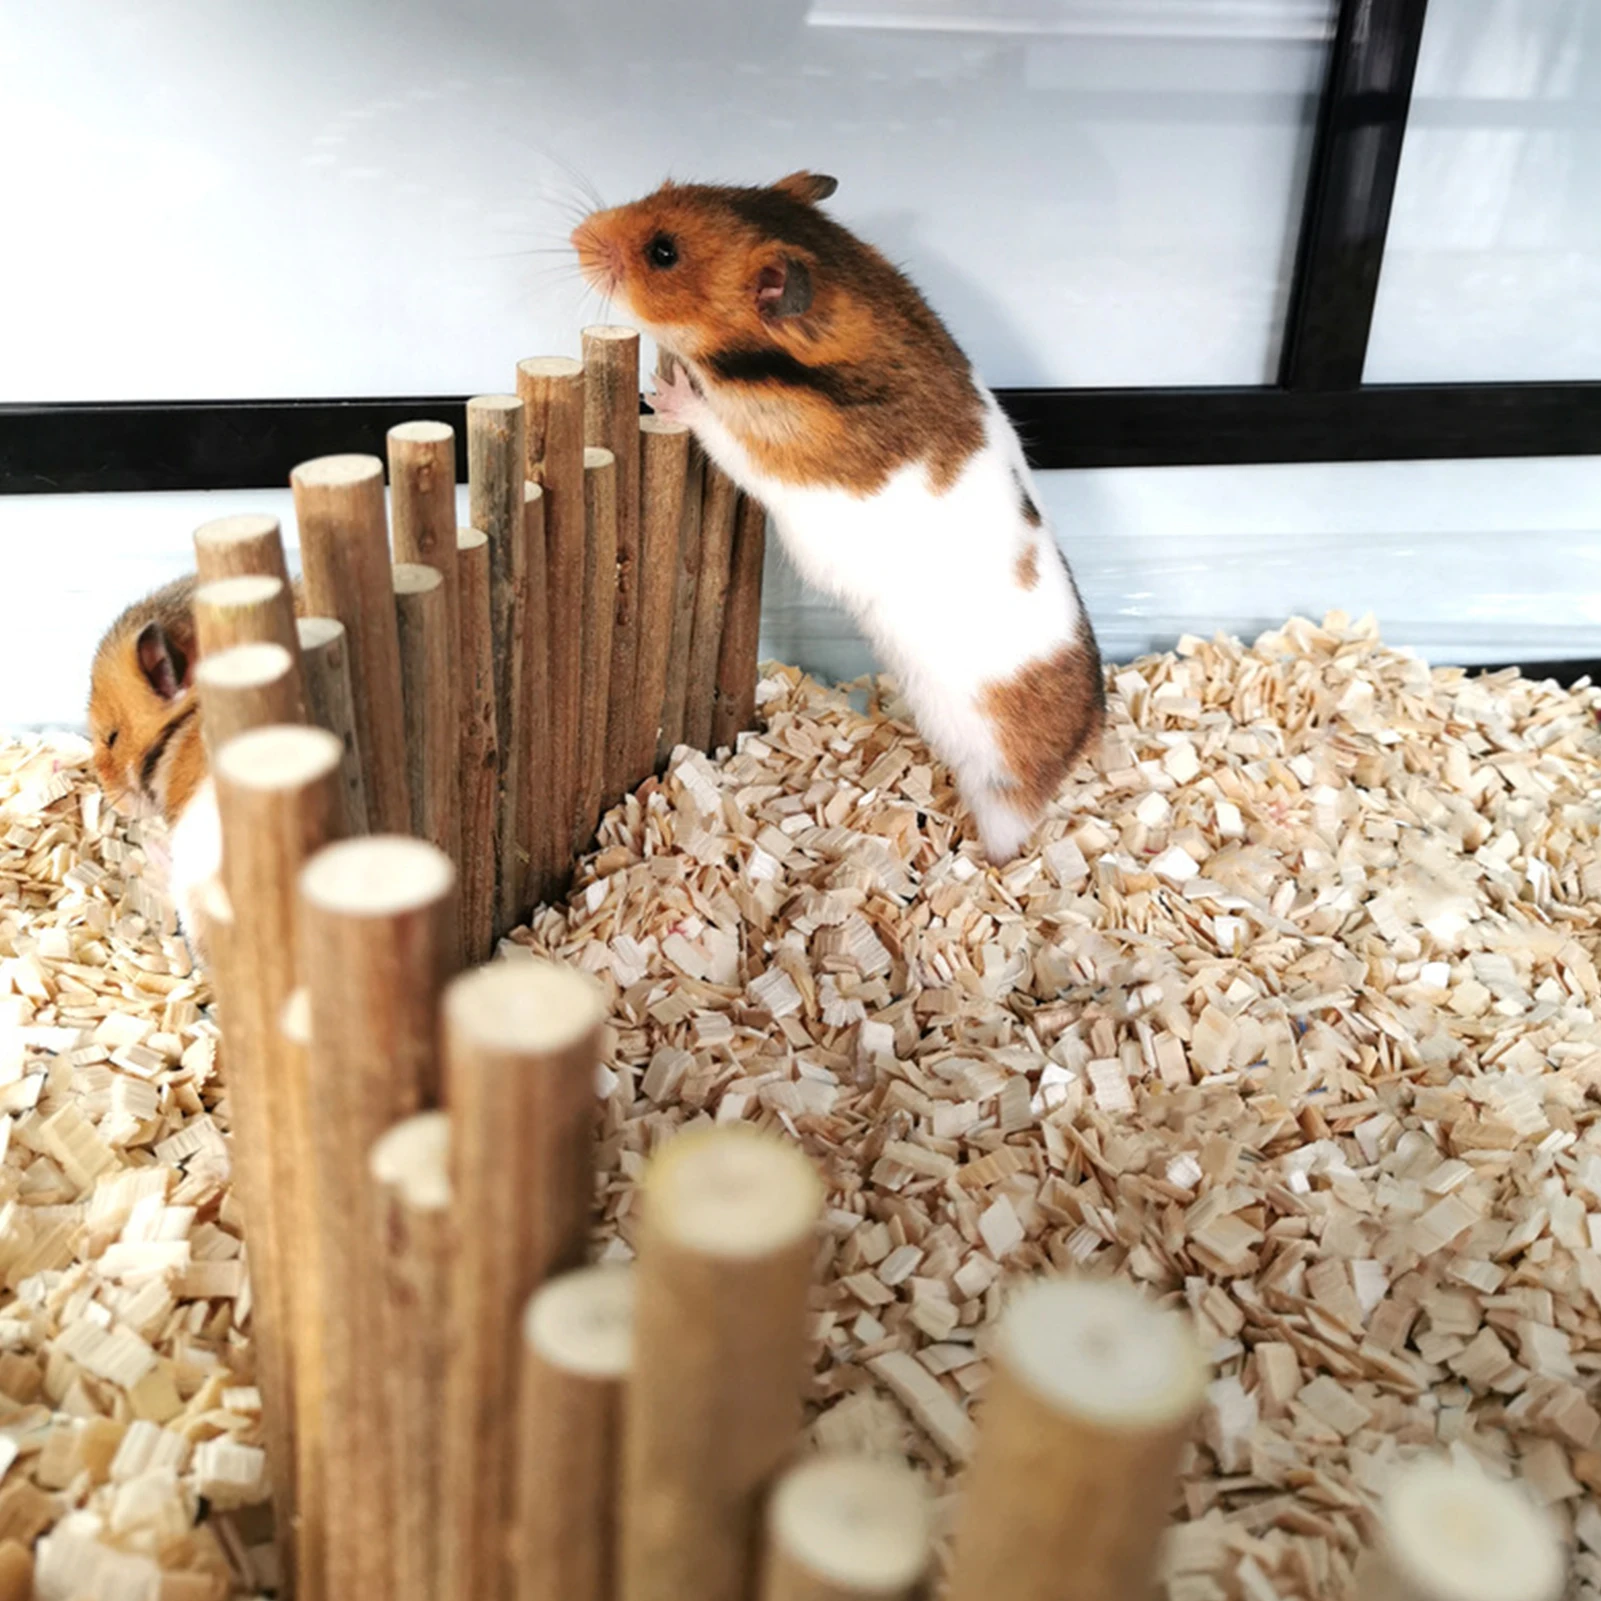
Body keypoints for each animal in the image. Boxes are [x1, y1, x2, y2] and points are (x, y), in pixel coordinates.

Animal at [572, 171, 1104, 863]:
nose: (575, 235)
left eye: (664, 253)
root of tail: (1088, 735)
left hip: (997, 787)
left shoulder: (767, 447)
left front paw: (663, 390)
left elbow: (711, 425)